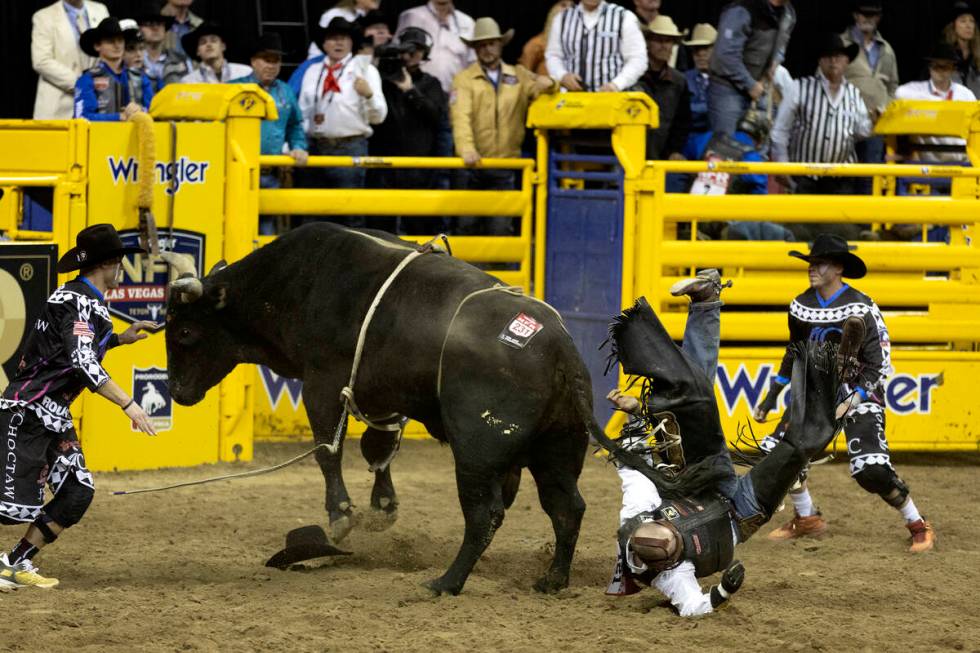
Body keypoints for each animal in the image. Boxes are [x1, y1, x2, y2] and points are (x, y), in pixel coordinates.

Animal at [163, 224, 604, 596]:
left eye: (184, 332)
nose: (177, 391)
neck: (291, 283)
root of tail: (559, 346)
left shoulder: (323, 383)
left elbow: (328, 449)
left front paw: (341, 515)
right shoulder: (379, 394)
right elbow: (379, 447)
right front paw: (383, 506)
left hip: (477, 455)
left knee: (485, 515)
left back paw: (446, 582)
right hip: (557, 450)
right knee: (566, 508)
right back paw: (552, 580)